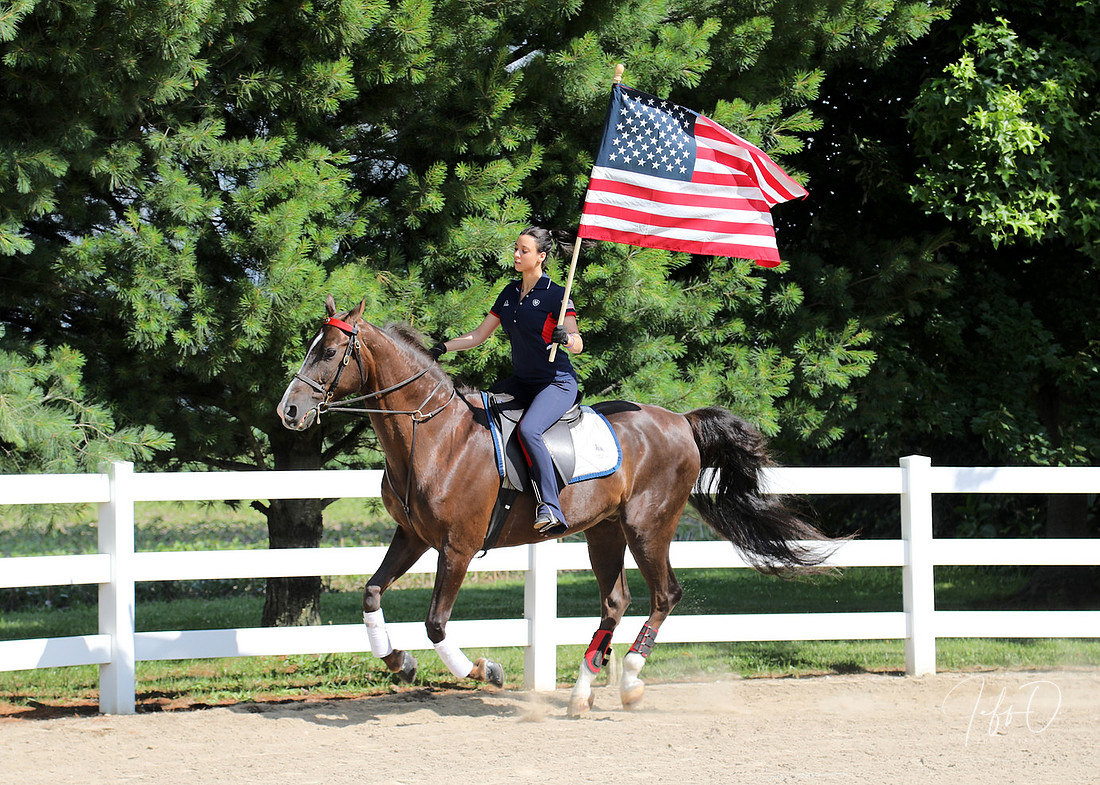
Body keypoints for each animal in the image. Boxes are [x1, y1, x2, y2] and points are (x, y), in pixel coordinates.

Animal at [277, 295, 835, 715]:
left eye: (329, 351)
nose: (290, 411)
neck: (433, 434)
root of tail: (680, 421)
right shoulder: (413, 536)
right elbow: (371, 593)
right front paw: (400, 661)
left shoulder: (457, 547)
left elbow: (436, 622)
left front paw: (486, 670)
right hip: (604, 530)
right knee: (615, 602)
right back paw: (582, 694)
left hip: (648, 526)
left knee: (665, 595)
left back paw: (630, 680)